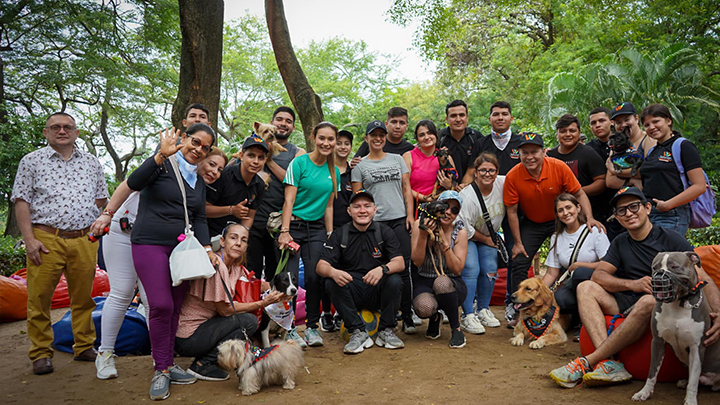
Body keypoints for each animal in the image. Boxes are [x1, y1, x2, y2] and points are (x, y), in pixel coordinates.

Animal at [632, 251, 716, 402]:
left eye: (674, 267)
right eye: (654, 268)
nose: (658, 278)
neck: (679, 304)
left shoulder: (697, 347)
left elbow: (693, 380)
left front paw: (690, 400)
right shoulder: (657, 342)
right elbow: (652, 372)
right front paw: (644, 392)